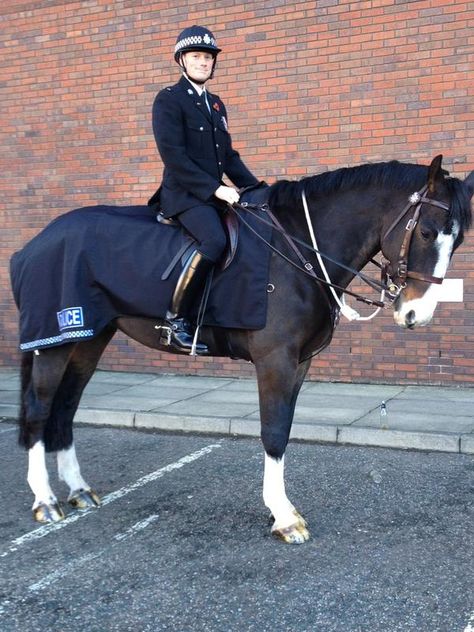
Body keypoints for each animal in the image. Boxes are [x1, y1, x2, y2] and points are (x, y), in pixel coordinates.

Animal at [12, 157, 472, 544]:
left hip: (88, 339)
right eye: (426, 231)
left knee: (66, 408)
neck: (297, 249)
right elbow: (274, 432)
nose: (416, 314)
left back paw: (78, 490)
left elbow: (284, 428)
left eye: (458, 240)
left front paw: (280, 509)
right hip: (56, 344)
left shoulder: (300, 363)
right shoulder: (275, 361)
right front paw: (283, 517)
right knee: (39, 408)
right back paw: (45, 501)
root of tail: (35, 243)